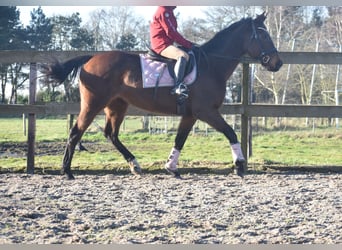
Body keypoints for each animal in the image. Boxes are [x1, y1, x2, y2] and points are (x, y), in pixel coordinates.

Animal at [42, 12, 284, 180]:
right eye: (263, 35)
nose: (278, 63)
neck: (212, 65)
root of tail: (91, 58)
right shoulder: (206, 112)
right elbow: (230, 132)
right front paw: (240, 165)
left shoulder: (191, 115)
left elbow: (180, 139)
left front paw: (171, 167)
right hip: (93, 105)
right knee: (75, 133)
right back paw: (67, 171)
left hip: (117, 106)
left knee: (111, 134)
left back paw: (135, 164)